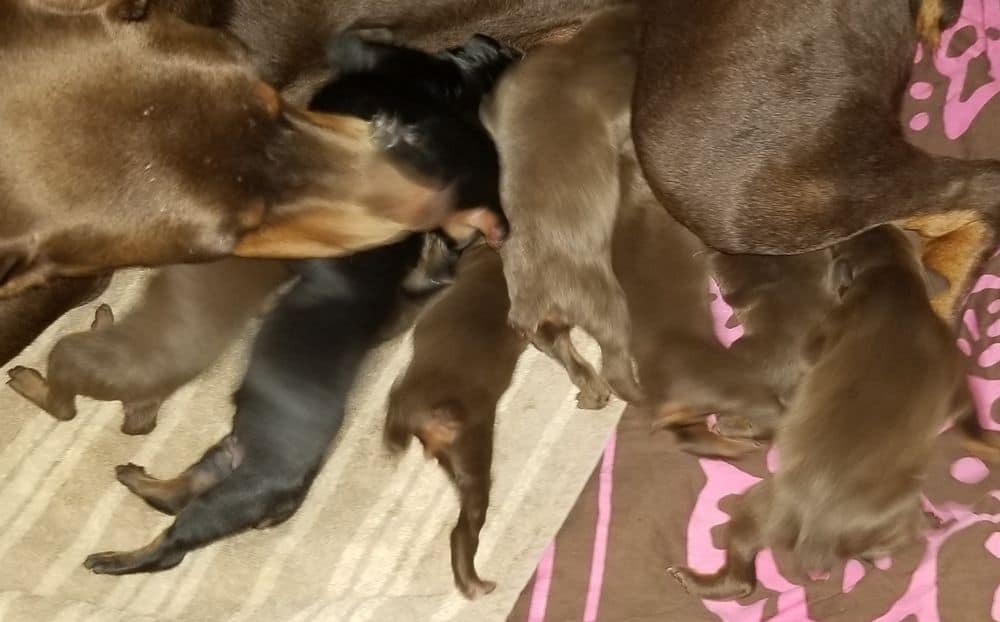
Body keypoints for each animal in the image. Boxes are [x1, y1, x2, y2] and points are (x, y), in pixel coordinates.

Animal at [482, 8, 640, 414]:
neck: (578, 53)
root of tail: (532, 303)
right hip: (602, 302)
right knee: (615, 362)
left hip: (544, 333)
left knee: (569, 357)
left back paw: (592, 394)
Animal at [612, 146, 784, 458]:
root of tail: (667, 401)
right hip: (737, 386)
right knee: (769, 422)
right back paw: (744, 437)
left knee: (690, 437)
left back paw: (732, 445)